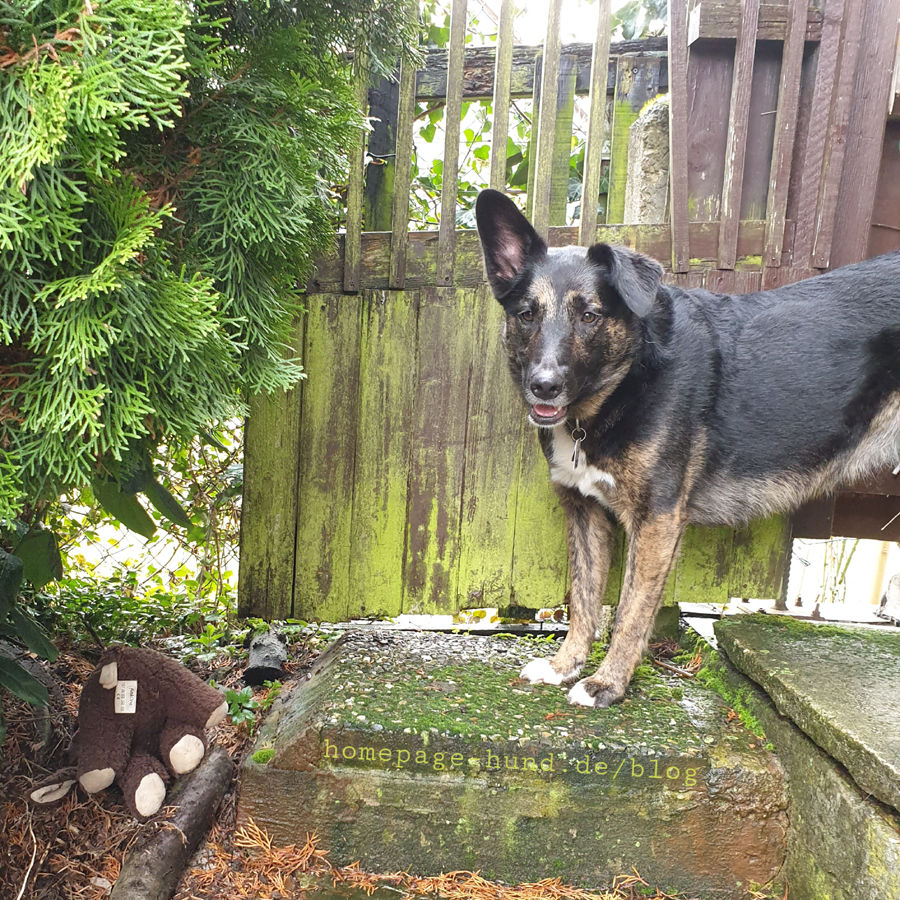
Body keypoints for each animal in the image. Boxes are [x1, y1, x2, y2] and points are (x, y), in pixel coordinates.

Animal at [474, 190, 900, 712]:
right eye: (527, 314)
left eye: (590, 316)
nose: (544, 386)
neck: (627, 382)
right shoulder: (585, 513)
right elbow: (585, 599)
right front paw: (564, 666)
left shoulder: (656, 521)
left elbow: (630, 612)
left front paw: (606, 684)